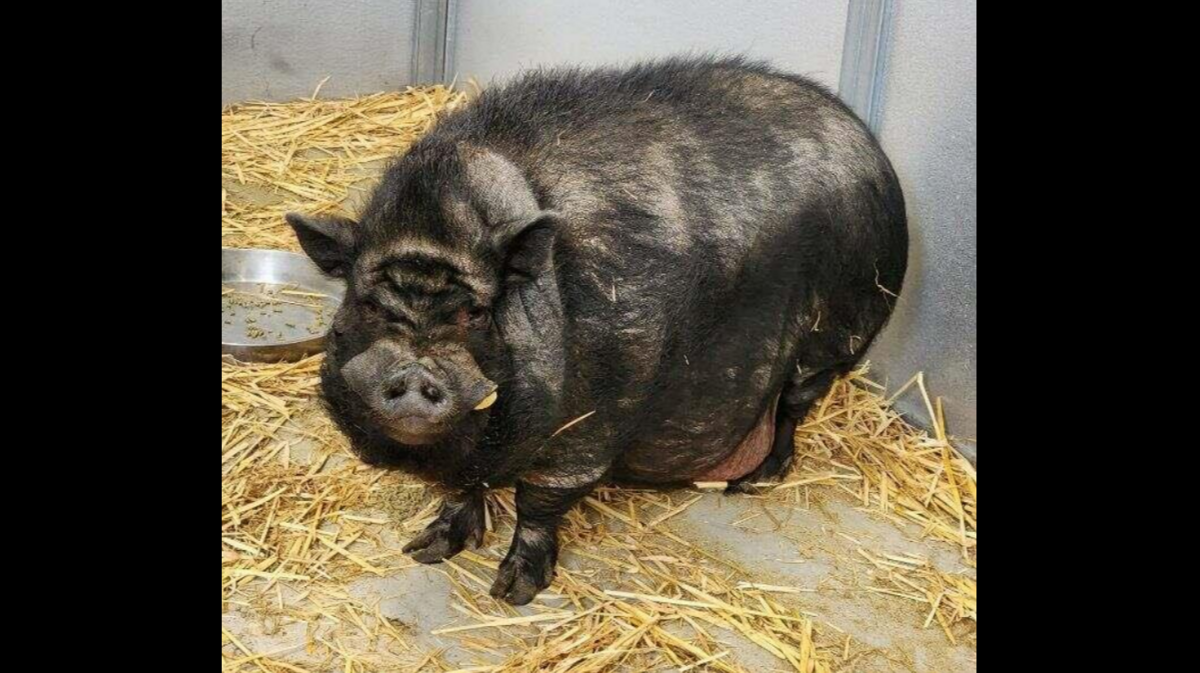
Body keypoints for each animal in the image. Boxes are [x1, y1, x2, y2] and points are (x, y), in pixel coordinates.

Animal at [286, 56, 907, 605]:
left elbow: (540, 499)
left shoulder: (600, 412)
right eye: (368, 304)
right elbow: (466, 488)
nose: (414, 372)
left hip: (839, 335)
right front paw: (425, 550)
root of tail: (868, 141)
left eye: (475, 313)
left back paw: (753, 482)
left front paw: (513, 593)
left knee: (794, 407)